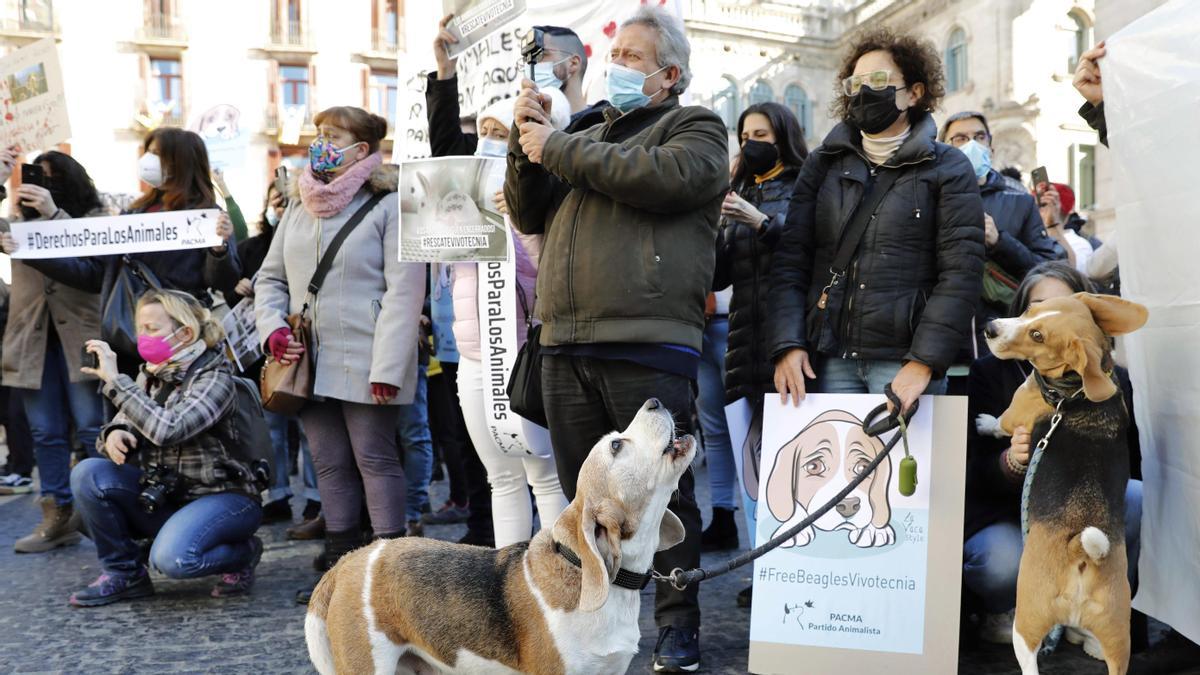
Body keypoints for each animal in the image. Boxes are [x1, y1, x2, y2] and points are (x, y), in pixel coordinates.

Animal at [974, 290, 1152, 672]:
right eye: (1031, 309)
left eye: (1037, 336)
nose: (991, 328)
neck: (1074, 392)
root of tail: (1082, 553)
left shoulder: (1016, 414)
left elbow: (1000, 423)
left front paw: (984, 422)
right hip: (1119, 637)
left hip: (1025, 622)